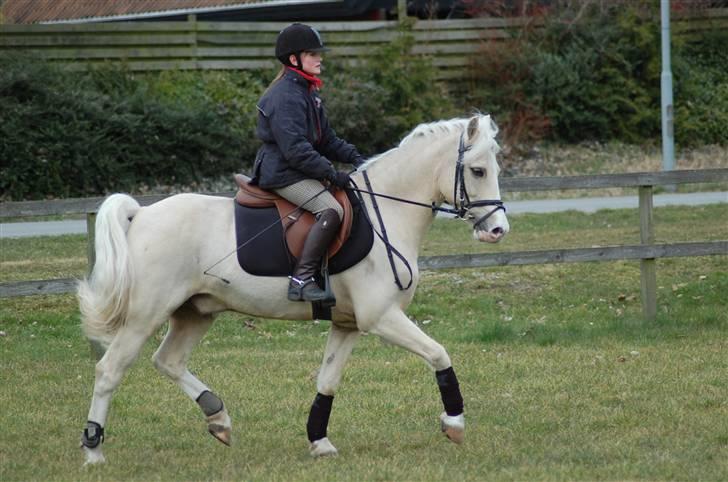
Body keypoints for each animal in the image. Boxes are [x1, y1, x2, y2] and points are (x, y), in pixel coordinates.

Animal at [77, 113, 509, 465]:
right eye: (477, 171)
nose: (497, 230)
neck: (385, 212)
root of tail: (141, 213)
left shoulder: (348, 324)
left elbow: (327, 380)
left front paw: (319, 441)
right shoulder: (381, 317)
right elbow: (439, 354)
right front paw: (454, 422)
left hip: (196, 312)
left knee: (168, 361)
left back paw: (219, 418)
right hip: (144, 316)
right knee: (110, 370)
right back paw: (94, 450)